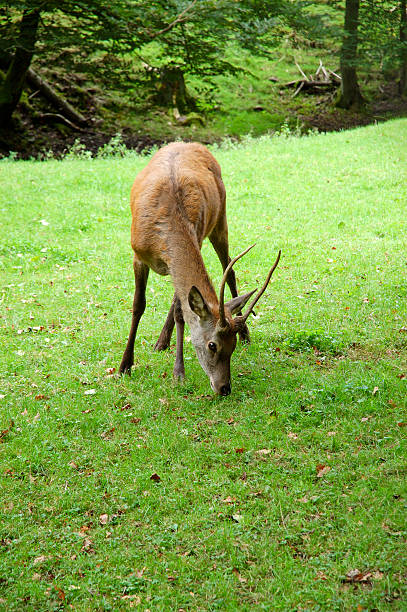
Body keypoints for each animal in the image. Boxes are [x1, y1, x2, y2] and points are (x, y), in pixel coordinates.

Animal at [119, 141, 282, 394]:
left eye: (232, 346)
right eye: (212, 345)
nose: (224, 388)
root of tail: (191, 144)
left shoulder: (194, 240)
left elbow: (180, 311)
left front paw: (178, 373)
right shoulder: (138, 254)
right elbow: (138, 305)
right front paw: (125, 365)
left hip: (220, 219)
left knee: (229, 269)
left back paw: (246, 333)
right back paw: (161, 342)